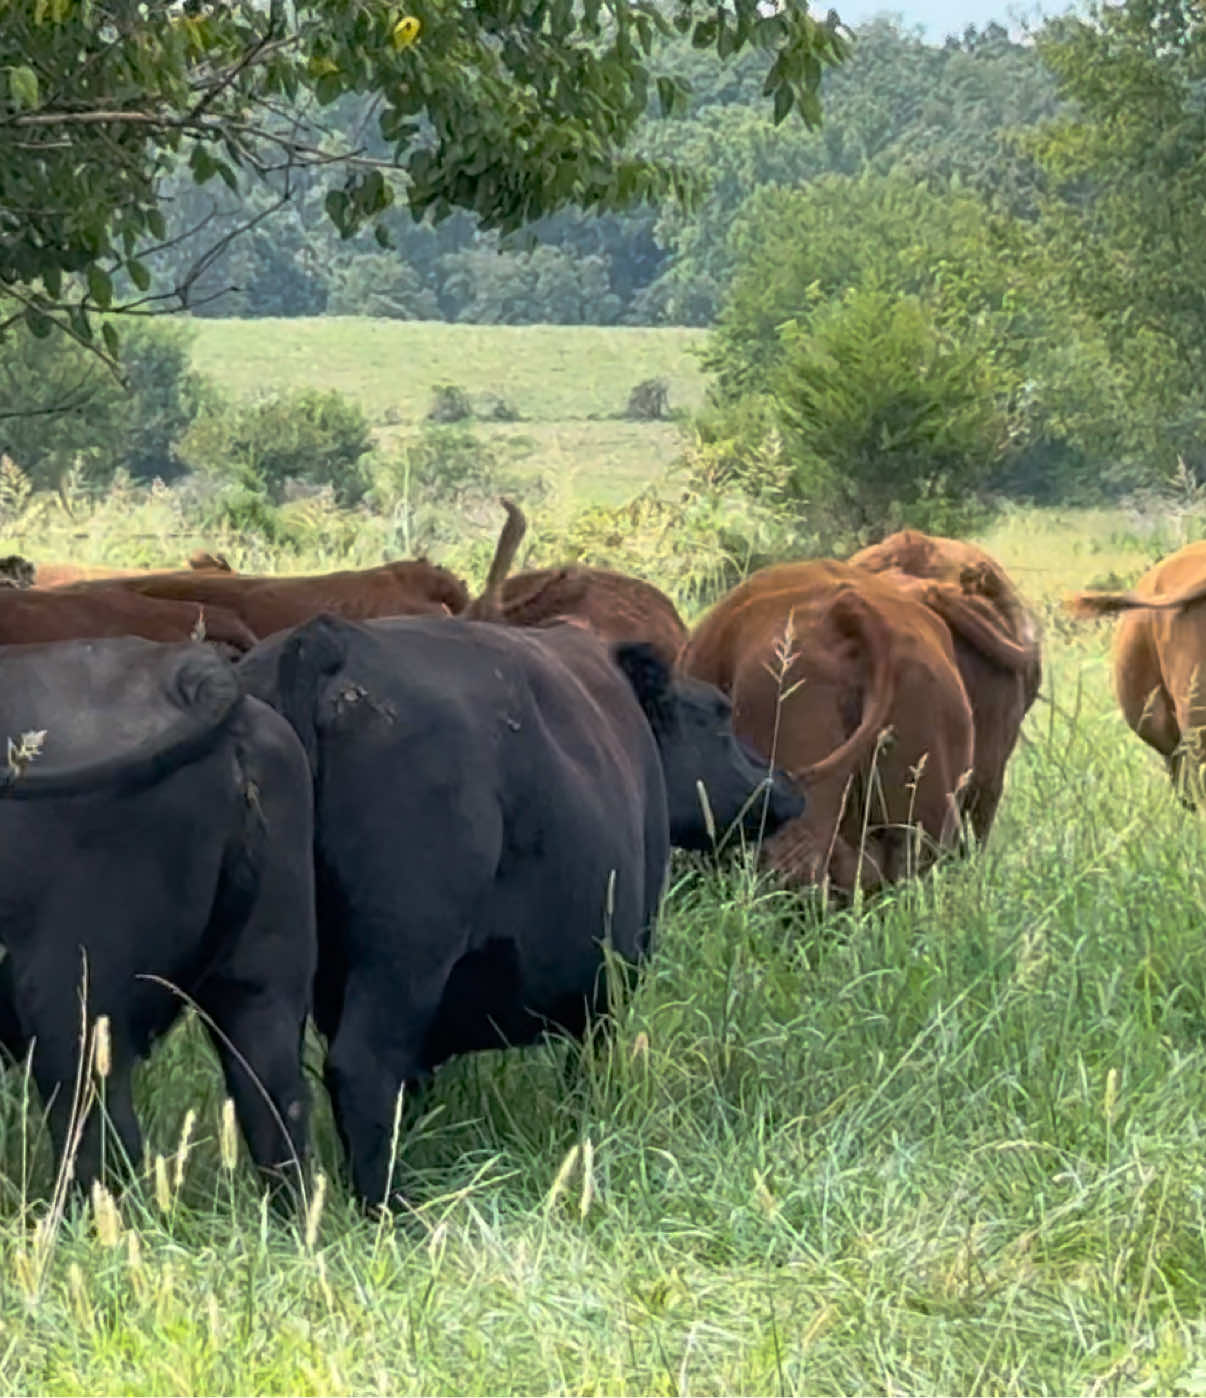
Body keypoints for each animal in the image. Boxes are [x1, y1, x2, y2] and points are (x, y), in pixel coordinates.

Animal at [238, 612, 804, 1204]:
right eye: (719, 717)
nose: (784, 783)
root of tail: (329, 637)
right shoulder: (614, 973)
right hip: (404, 953)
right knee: (360, 1067)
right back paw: (389, 1204)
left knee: (270, 1081)